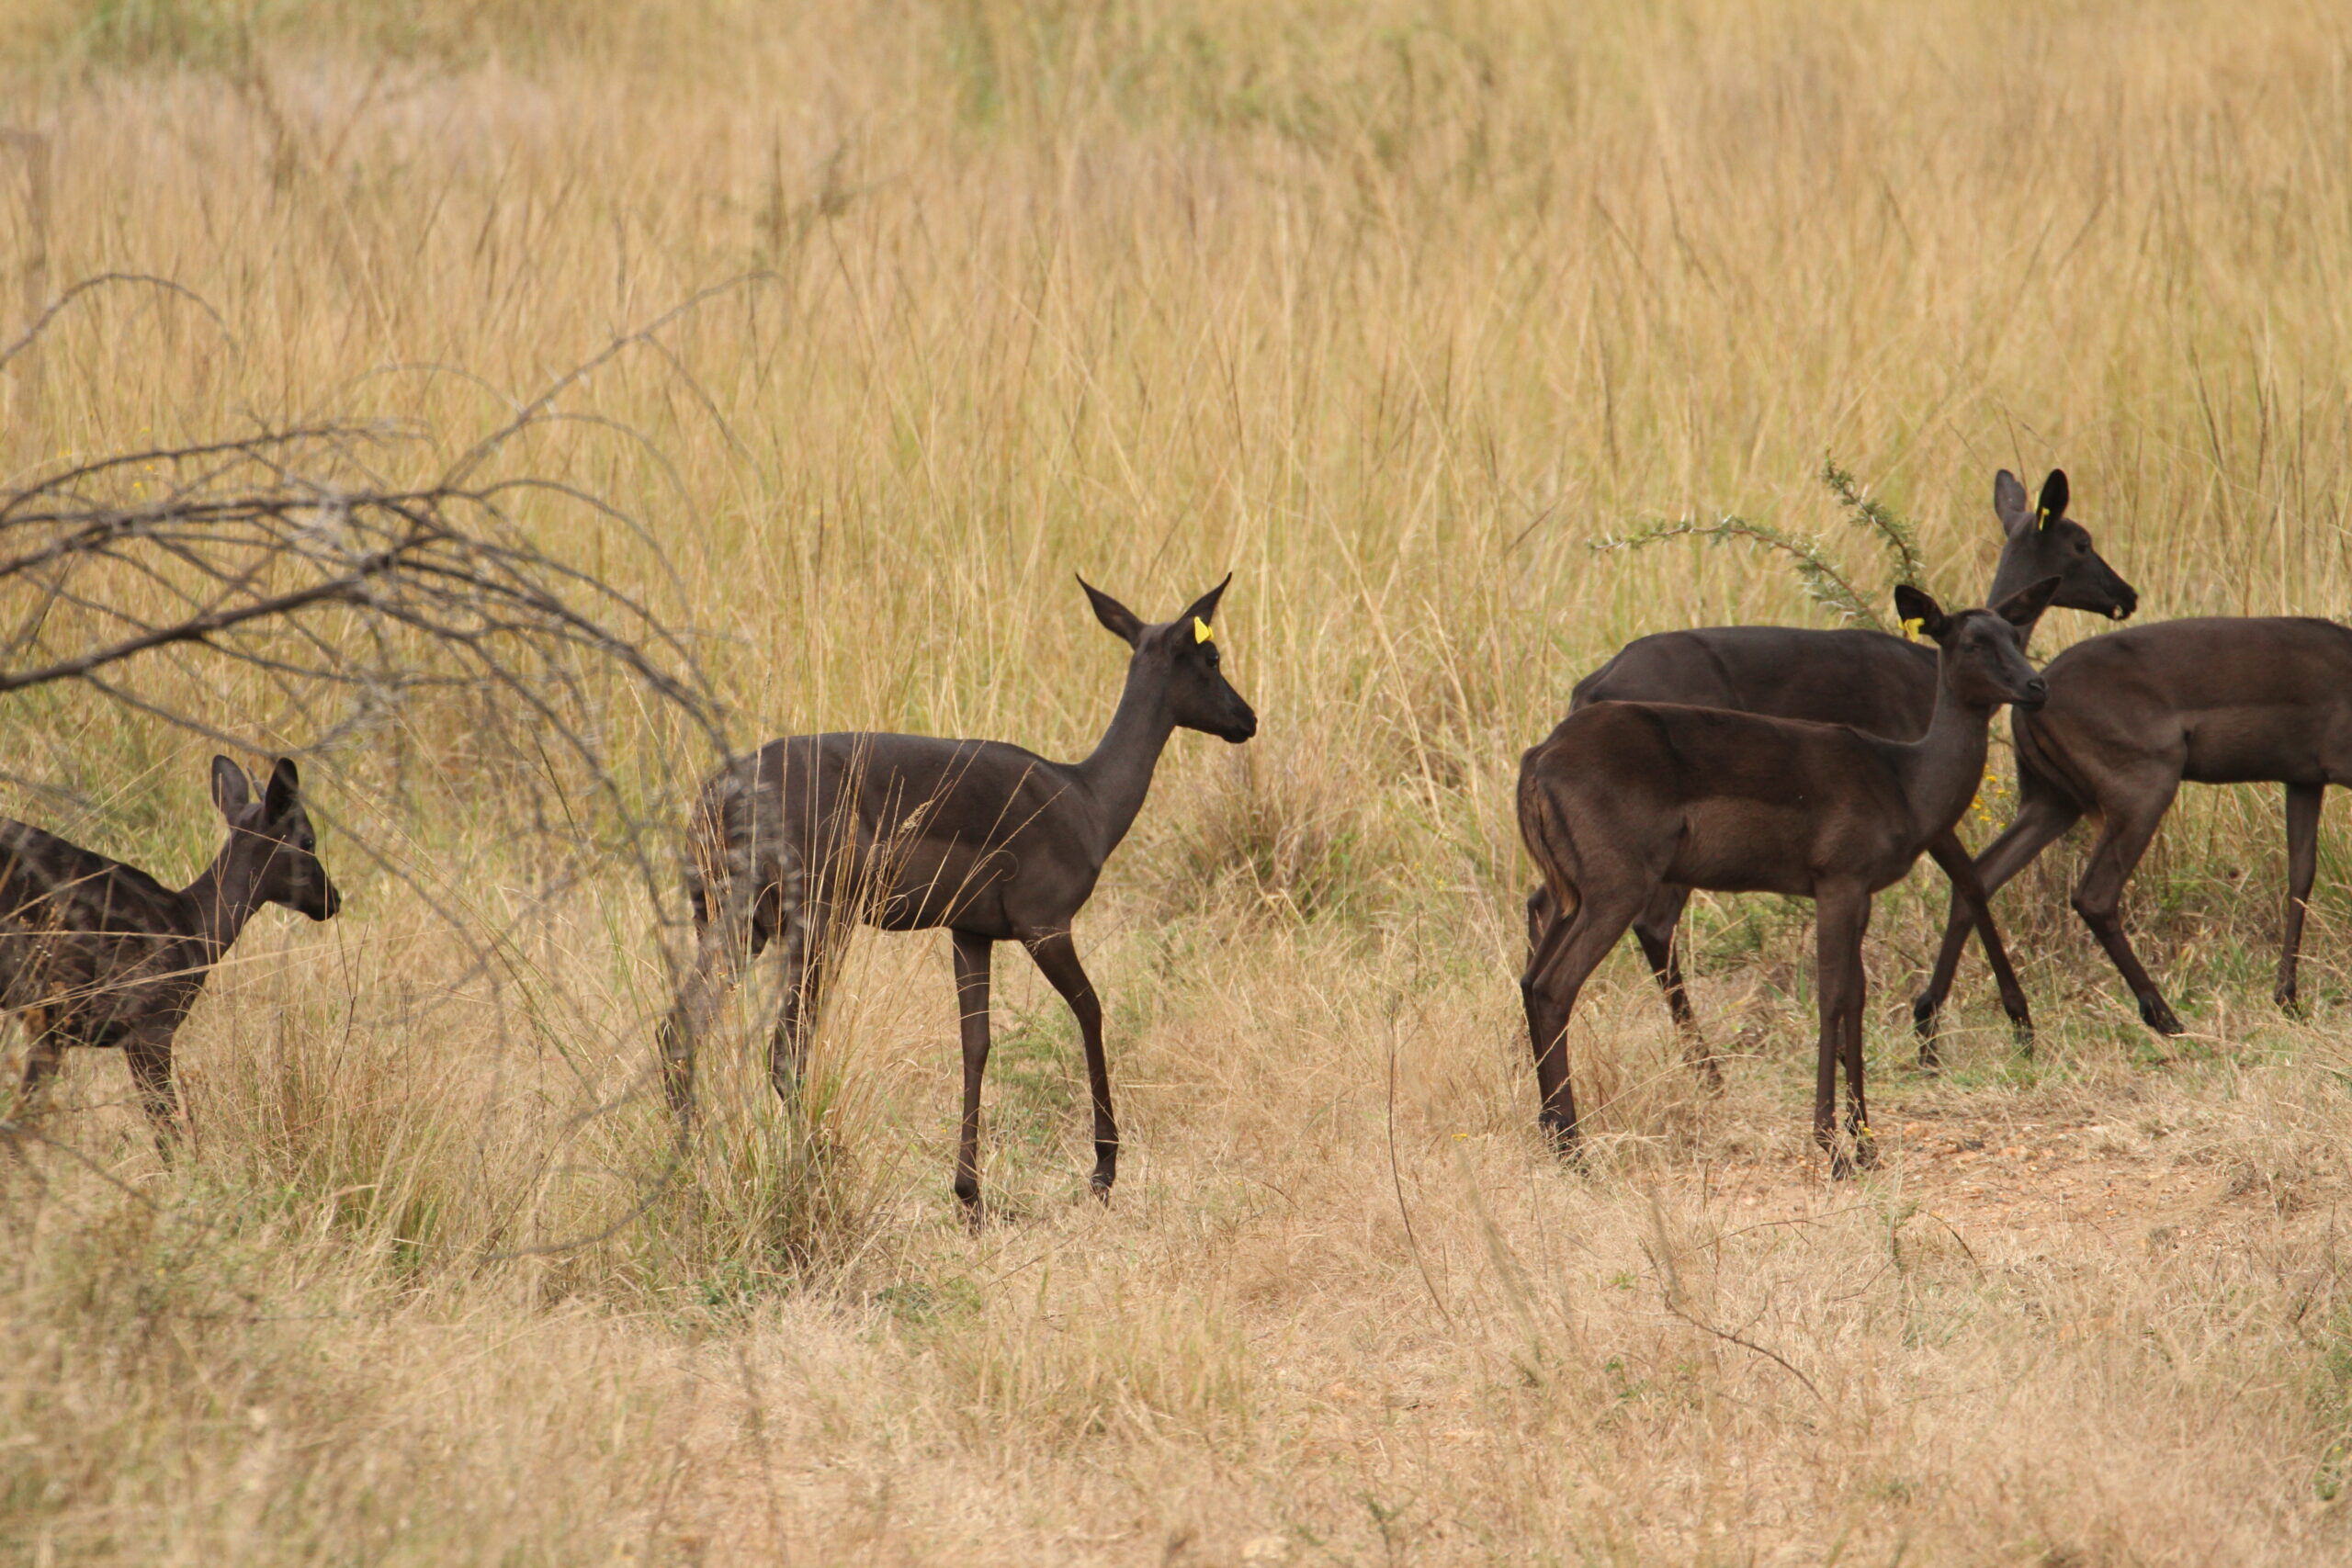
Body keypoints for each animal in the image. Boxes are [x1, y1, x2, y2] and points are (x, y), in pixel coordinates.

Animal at [1, 756, 341, 1145]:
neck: (196, 927)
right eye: (309, 840)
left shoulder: (52, 1030)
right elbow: (168, 1132)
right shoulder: (149, 1027)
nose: (333, 899)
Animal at [658, 576, 1256, 1213]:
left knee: (679, 1032)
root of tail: (719, 792)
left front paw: (970, 1194)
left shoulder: (969, 934)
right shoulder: (1046, 928)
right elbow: (1090, 1011)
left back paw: (688, 1175)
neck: (1085, 798)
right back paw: (815, 1171)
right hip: (816, 928)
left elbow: (976, 1043)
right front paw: (1103, 1170)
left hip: (735, 927)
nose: (1246, 718)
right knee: (785, 1051)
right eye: (1213, 658)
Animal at [1518, 580, 2056, 1176]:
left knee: (1531, 976)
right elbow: (1832, 996)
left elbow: (1855, 998)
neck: (1905, 778)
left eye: (2013, 634)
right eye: (1972, 642)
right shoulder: (1838, 885)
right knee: (1556, 986)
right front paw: (1831, 1147)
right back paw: (1575, 1152)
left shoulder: (1859, 896)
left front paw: (1865, 1144)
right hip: (1616, 894)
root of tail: (1539, 757)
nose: (2036, 686)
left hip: (1574, 897)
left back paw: (1554, 1134)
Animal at [1553, 469, 2136, 1063]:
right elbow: (1974, 882)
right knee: (1650, 923)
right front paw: (1992, 1024)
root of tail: (1592, 685)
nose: (2126, 595)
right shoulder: (1924, 814)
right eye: (2081, 541)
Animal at [1914, 615, 2352, 1037]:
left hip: (2052, 803)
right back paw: (2166, 1019)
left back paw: (1938, 1024)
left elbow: (2301, 875)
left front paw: (2287, 1000)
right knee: (2093, 896)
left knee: (1979, 876)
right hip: (2143, 792)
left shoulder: (2304, 781)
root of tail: (2030, 699)